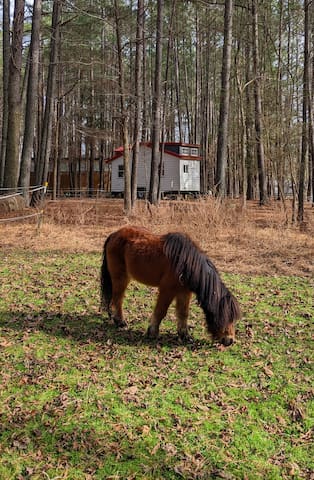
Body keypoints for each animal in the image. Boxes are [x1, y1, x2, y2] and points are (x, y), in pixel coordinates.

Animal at [100, 226, 240, 344]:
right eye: (226, 317)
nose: (230, 340)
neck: (186, 262)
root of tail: (114, 234)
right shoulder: (167, 290)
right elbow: (161, 311)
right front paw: (152, 332)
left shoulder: (184, 292)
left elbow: (183, 313)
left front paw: (185, 335)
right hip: (120, 278)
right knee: (118, 299)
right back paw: (120, 322)